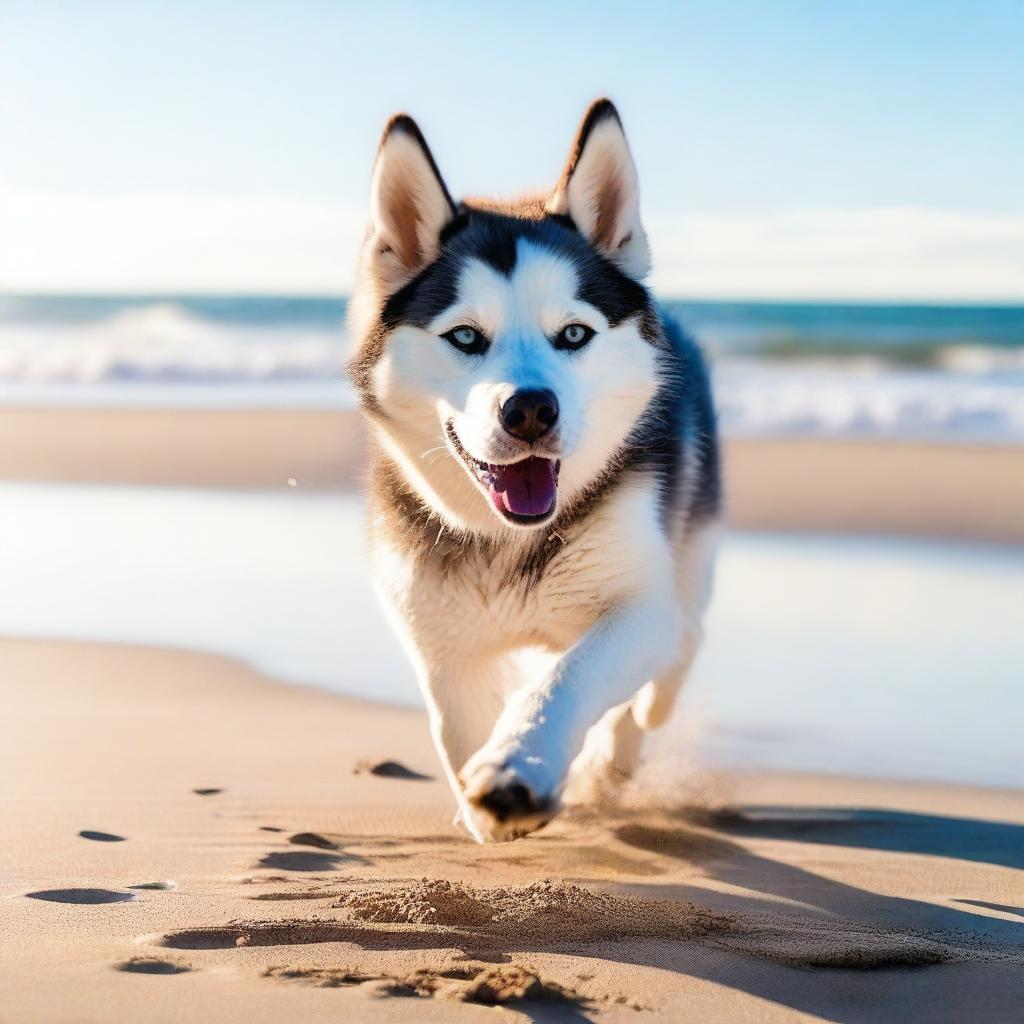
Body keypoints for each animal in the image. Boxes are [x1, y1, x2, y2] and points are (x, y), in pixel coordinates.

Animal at [350, 99, 720, 843]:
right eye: (465, 336)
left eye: (573, 334)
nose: (529, 410)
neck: (511, 543)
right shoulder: (435, 631)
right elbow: (455, 722)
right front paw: (481, 802)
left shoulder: (638, 608)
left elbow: (568, 681)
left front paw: (516, 768)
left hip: (691, 551)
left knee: (676, 653)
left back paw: (620, 749)